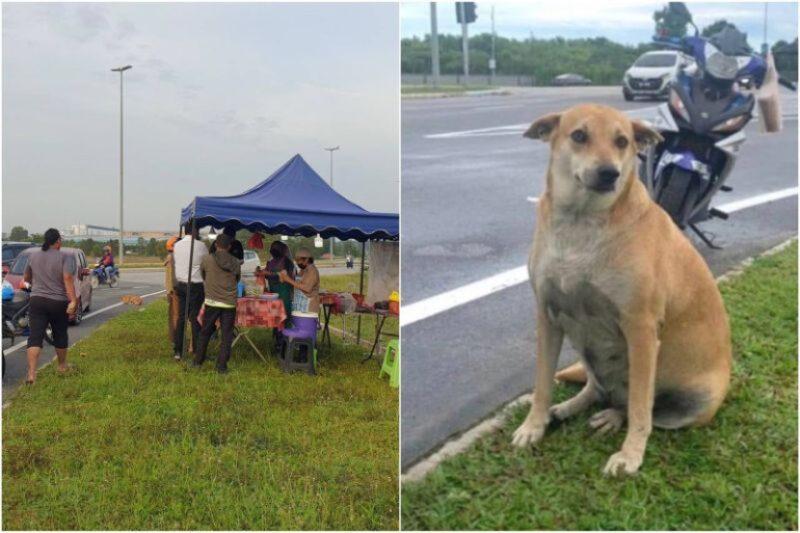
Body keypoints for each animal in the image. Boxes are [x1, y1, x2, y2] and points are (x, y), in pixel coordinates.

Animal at [512, 103, 732, 474]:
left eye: (622, 141)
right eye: (579, 135)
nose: (608, 174)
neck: (581, 223)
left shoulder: (640, 329)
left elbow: (641, 407)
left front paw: (630, 455)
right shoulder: (548, 316)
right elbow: (542, 383)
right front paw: (534, 425)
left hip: (695, 401)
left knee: (641, 406)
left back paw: (613, 417)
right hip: (587, 353)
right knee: (596, 387)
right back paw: (568, 408)